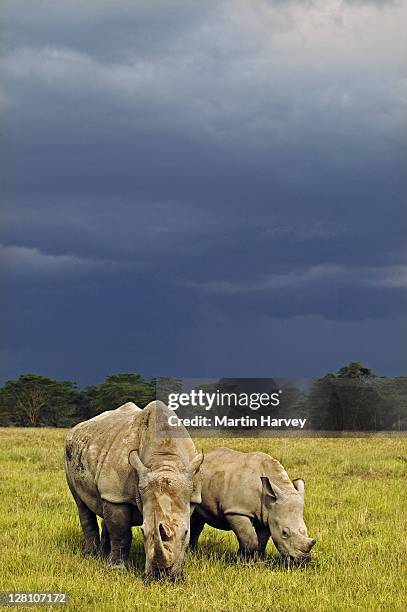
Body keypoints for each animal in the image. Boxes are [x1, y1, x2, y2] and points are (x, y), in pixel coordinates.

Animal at [65, 402, 204, 580]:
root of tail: (77, 427)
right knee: (81, 504)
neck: (165, 462)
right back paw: (91, 555)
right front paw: (117, 569)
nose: (162, 577)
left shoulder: (191, 497)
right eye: (143, 532)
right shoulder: (117, 494)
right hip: (70, 455)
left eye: (186, 533)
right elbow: (121, 532)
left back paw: (103, 554)